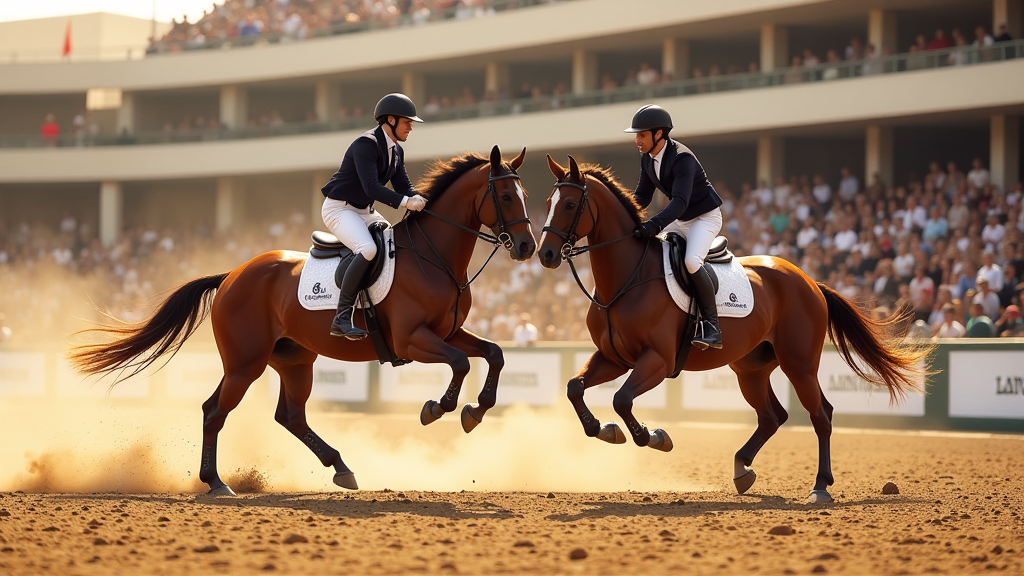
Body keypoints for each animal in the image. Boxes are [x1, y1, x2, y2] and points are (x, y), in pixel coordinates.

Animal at [72, 144, 536, 494]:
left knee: (287, 415)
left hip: (293, 360)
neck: (433, 256)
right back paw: (217, 483)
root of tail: (233, 274)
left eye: (526, 195)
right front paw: (438, 408)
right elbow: (460, 364)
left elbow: (494, 354)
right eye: (506, 196)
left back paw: (340, 467)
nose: (528, 247)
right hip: (246, 363)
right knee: (216, 411)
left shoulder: (449, 332)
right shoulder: (412, 340)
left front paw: (477, 410)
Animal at [536, 154, 929, 500]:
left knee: (821, 416)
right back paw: (743, 469)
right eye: (548, 201)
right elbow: (575, 388)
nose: (545, 255)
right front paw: (605, 430)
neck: (625, 281)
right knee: (773, 416)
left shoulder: (657, 361)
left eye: (569, 204)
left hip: (799, 363)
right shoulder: (615, 357)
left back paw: (819, 487)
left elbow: (621, 399)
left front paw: (656, 437)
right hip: (751, 368)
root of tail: (809, 281)